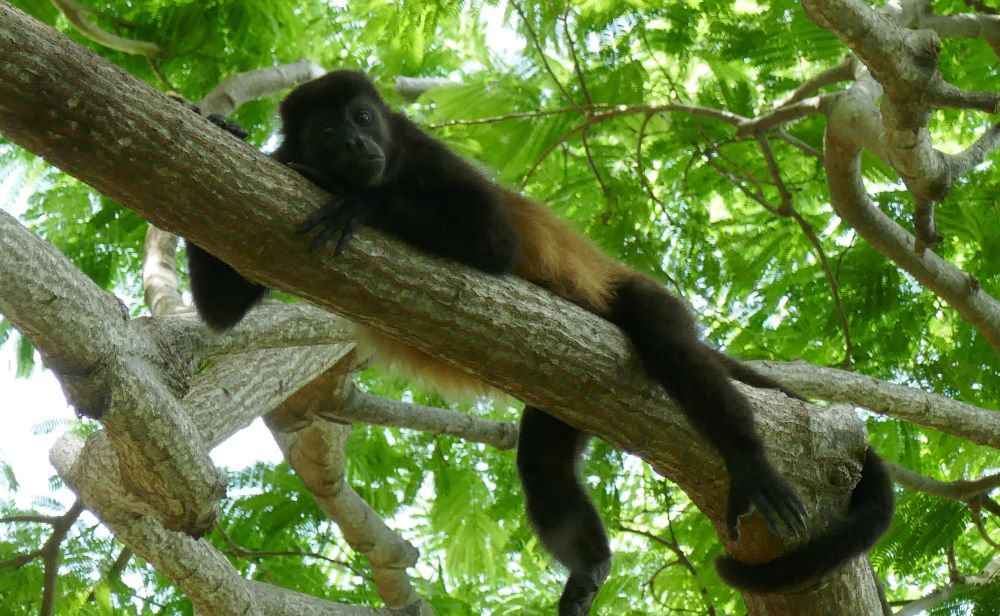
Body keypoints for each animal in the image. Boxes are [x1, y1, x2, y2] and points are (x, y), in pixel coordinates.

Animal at [186, 71, 892, 612]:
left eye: (361, 117)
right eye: (329, 132)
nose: (358, 142)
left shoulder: (418, 149)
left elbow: (494, 240)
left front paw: (356, 202)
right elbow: (223, 309)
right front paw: (226, 132)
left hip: (643, 300)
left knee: (675, 353)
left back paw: (747, 463)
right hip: (563, 401)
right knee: (544, 468)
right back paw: (590, 568)